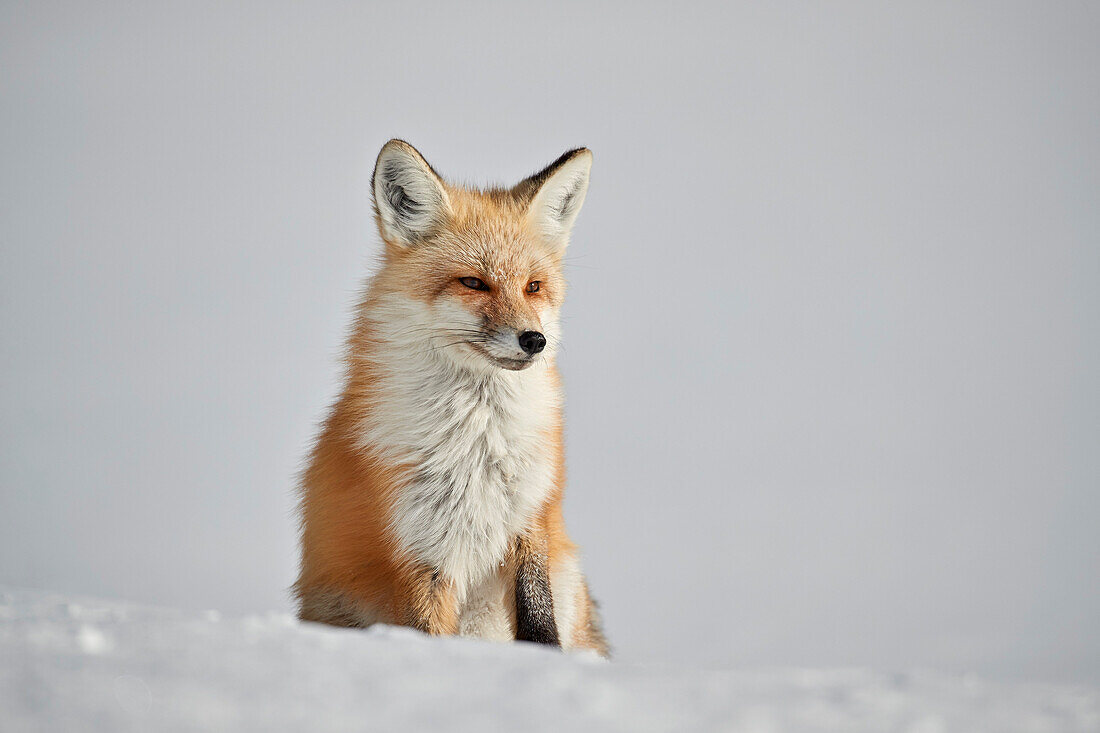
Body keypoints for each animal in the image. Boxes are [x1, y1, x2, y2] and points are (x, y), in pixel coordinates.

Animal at [292, 139, 611, 651]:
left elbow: (538, 617)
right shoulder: (421, 548)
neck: (480, 441)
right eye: (473, 282)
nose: (534, 340)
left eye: (534, 287)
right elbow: (428, 630)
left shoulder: (530, 516)